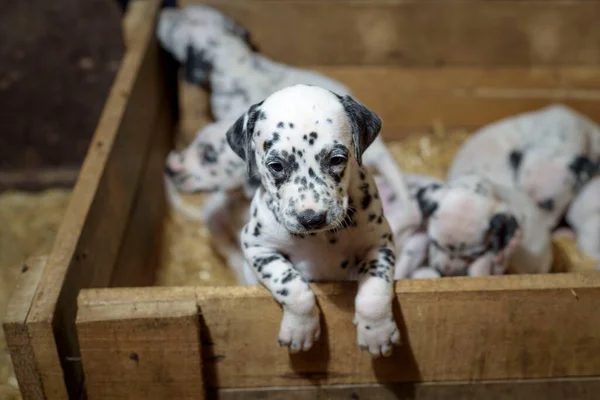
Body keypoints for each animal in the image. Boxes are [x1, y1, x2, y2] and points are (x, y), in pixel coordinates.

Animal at [227, 84, 400, 356]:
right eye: (276, 165)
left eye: (337, 159)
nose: (312, 218)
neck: (320, 239)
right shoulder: (258, 249)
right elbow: (293, 286)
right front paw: (300, 329)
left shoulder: (379, 244)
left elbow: (375, 290)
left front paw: (376, 332)